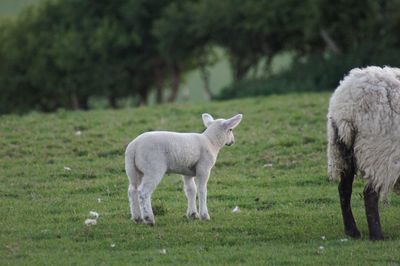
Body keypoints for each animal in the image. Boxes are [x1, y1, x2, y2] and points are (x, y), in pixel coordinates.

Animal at [328, 65, 400, 240]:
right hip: (378, 152)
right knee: (369, 194)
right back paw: (377, 236)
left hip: (343, 151)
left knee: (344, 189)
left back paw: (352, 231)